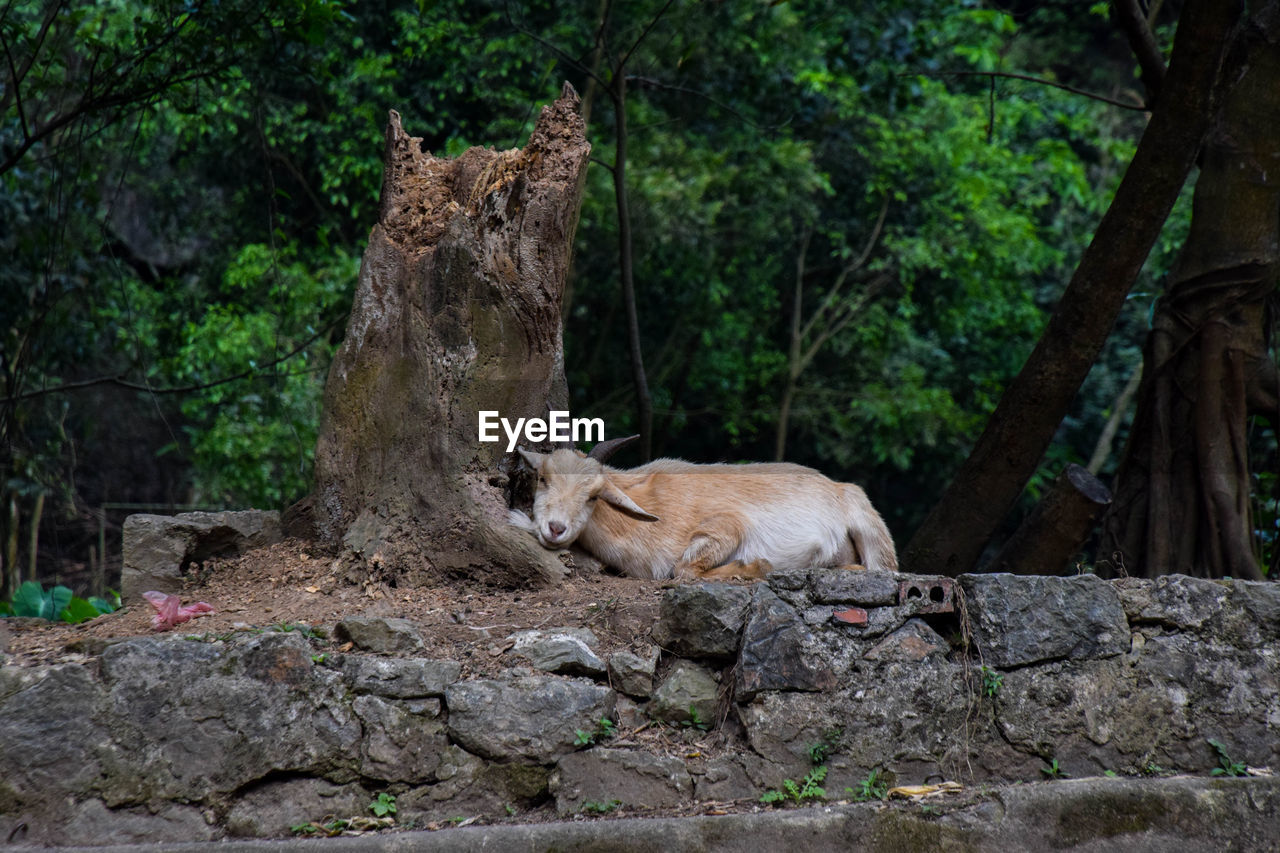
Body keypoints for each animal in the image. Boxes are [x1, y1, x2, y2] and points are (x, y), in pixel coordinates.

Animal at [504, 435, 896, 581]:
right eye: (543, 479)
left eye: (593, 495)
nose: (556, 528)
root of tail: (838, 487)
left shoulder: (727, 524)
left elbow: (684, 570)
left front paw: (753, 565)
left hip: (869, 524)